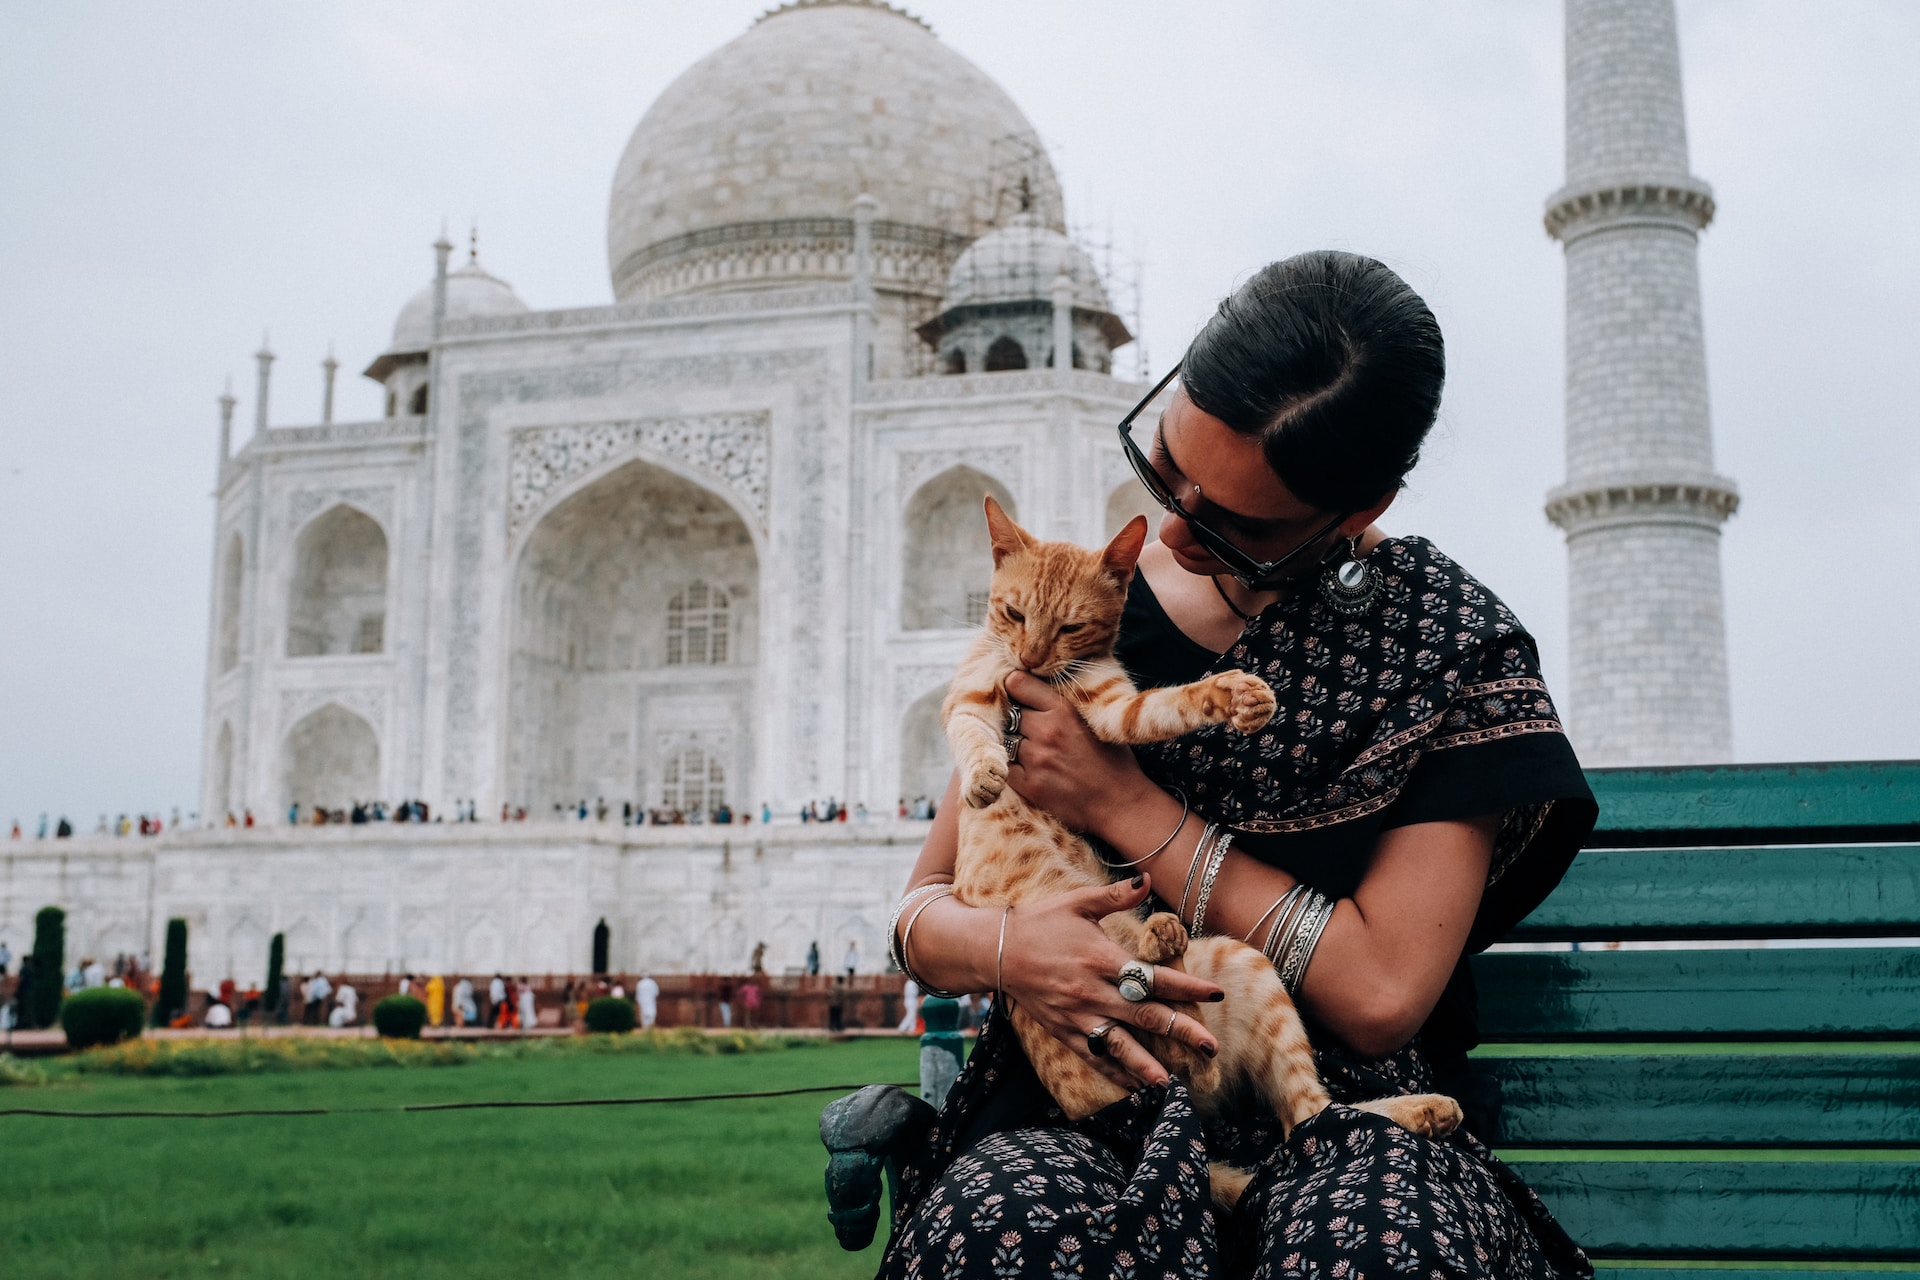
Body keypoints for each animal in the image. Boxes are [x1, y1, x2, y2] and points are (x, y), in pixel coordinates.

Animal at [952, 495, 1459, 1205]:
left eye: (1072, 626)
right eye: (1013, 612)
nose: (1028, 660)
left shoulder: (1109, 709)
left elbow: (1163, 707)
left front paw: (1233, 693)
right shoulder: (969, 696)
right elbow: (974, 734)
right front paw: (984, 779)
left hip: (1243, 969)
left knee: (1299, 1113)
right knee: (1226, 1086)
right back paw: (1159, 943)